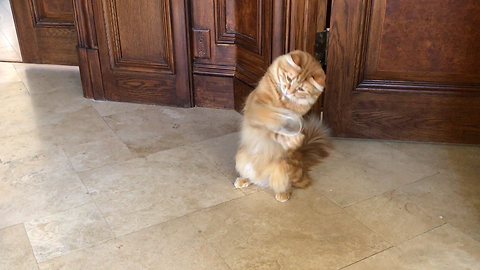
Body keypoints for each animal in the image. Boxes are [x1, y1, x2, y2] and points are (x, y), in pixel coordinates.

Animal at [234, 51, 332, 202]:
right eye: (289, 78)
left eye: (300, 89)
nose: (288, 91)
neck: (280, 100)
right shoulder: (255, 107)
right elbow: (269, 116)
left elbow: (279, 131)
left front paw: (293, 137)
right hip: (240, 157)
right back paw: (243, 180)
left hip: (284, 168)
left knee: (296, 184)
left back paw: (283, 193)